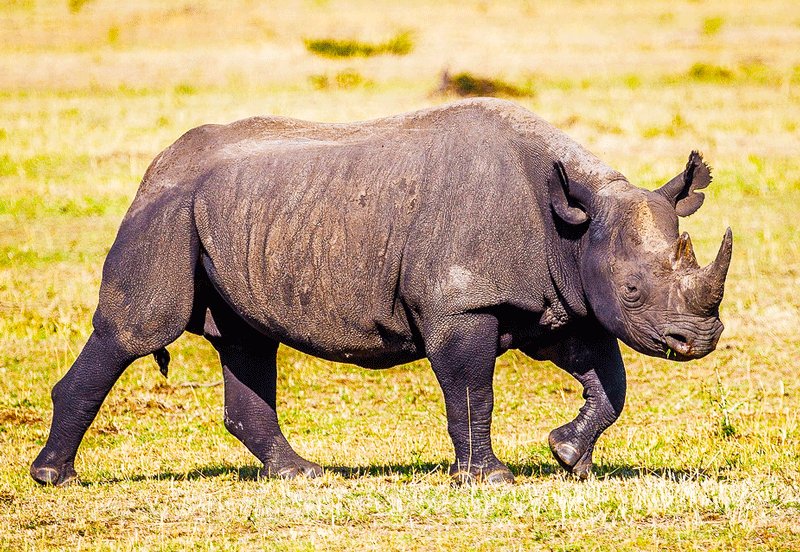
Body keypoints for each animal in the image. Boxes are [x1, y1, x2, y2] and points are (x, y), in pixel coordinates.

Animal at [29, 97, 732, 486]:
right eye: (634, 289)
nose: (697, 340)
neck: (574, 223)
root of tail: (157, 167)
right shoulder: (461, 302)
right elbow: (472, 391)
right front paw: (491, 480)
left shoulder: (560, 301)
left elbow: (608, 381)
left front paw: (568, 458)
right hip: (166, 214)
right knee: (135, 331)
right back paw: (53, 477)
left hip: (234, 214)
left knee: (248, 342)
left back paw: (303, 476)